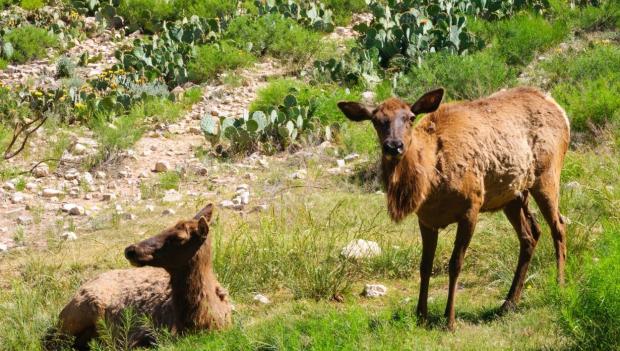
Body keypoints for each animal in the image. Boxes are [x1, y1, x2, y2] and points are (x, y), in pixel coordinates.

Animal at [340, 87, 572, 330]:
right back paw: (508, 303)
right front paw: (421, 316)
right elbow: (425, 265)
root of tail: (560, 111)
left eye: (410, 118)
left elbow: (455, 264)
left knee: (558, 226)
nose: (394, 146)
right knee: (531, 234)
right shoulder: (426, 219)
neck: (431, 182)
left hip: (547, 175)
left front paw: (449, 320)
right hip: (513, 194)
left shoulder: (471, 207)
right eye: (376, 120)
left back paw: (559, 285)